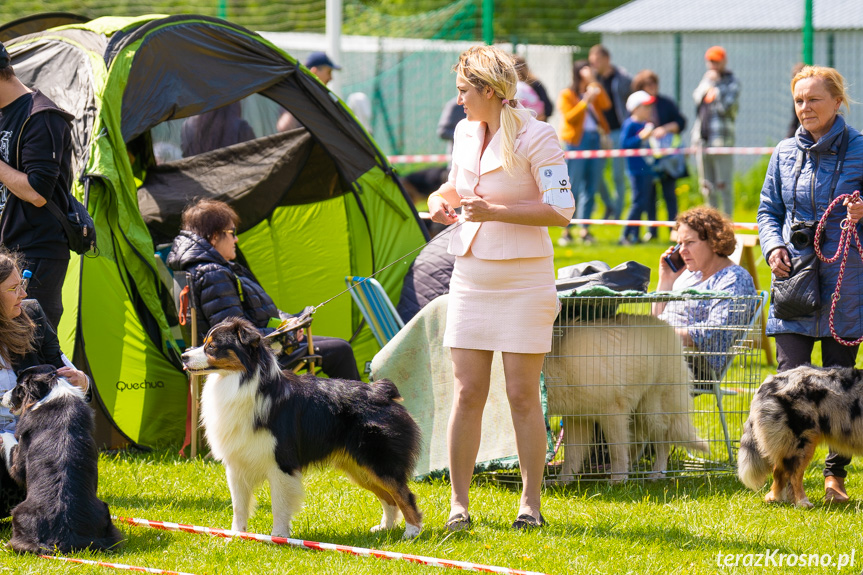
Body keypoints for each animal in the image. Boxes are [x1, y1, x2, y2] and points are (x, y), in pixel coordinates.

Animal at [0, 364, 125, 552]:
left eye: (18, 386)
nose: (2, 396)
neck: (50, 389)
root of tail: (61, 538)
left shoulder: (19, 462)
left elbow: (10, 443)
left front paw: (2, 433)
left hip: (18, 512)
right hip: (104, 512)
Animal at [183, 320, 426, 540]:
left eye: (212, 346)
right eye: (204, 342)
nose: (184, 356)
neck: (242, 382)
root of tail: (382, 391)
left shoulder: (281, 462)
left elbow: (279, 504)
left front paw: (279, 537)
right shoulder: (236, 463)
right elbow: (239, 505)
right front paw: (235, 535)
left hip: (379, 462)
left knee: (404, 495)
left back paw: (411, 532)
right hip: (359, 467)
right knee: (389, 497)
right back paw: (386, 528)